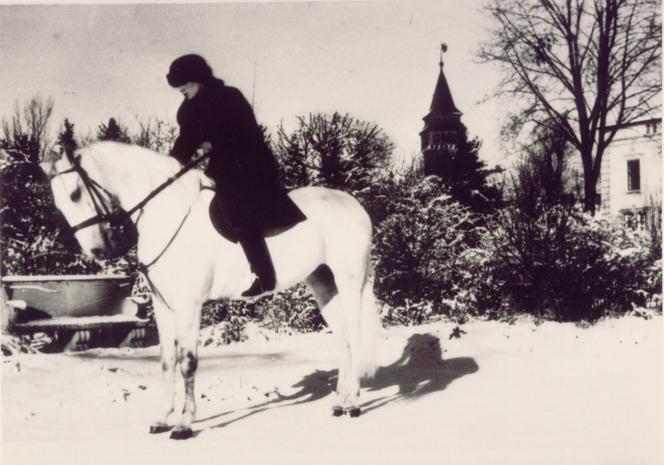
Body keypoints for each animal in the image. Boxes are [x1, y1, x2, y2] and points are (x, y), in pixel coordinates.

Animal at [44, 141, 378, 438]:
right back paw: (339, 403)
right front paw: (161, 420)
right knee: (344, 341)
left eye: (75, 194)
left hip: (348, 281)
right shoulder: (163, 307)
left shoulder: (189, 305)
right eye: (58, 203)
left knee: (355, 336)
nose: (98, 251)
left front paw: (183, 424)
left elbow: (188, 361)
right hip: (324, 284)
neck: (167, 215)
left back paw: (354, 404)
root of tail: (354, 205)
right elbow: (167, 360)